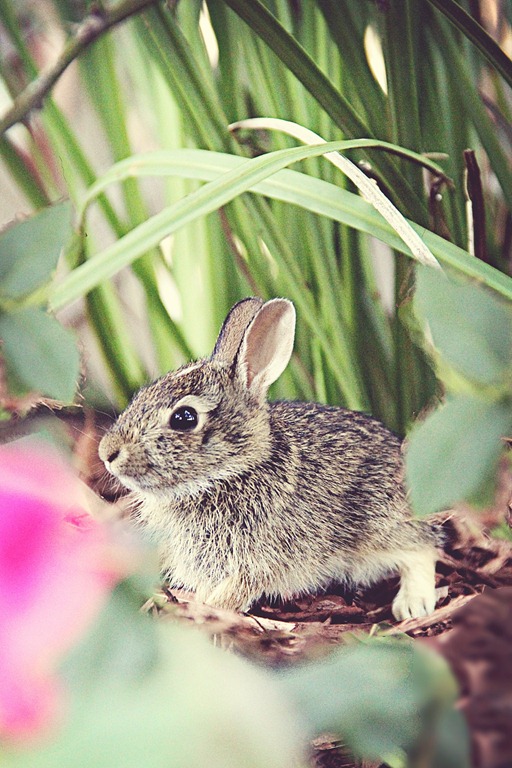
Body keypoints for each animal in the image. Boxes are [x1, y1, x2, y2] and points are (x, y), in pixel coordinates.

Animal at [99, 297, 440, 621]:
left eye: (185, 418)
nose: (107, 453)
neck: (229, 473)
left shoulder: (259, 560)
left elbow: (233, 593)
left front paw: (208, 611)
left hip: (378, 527)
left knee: (422, 547)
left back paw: (413, 604)